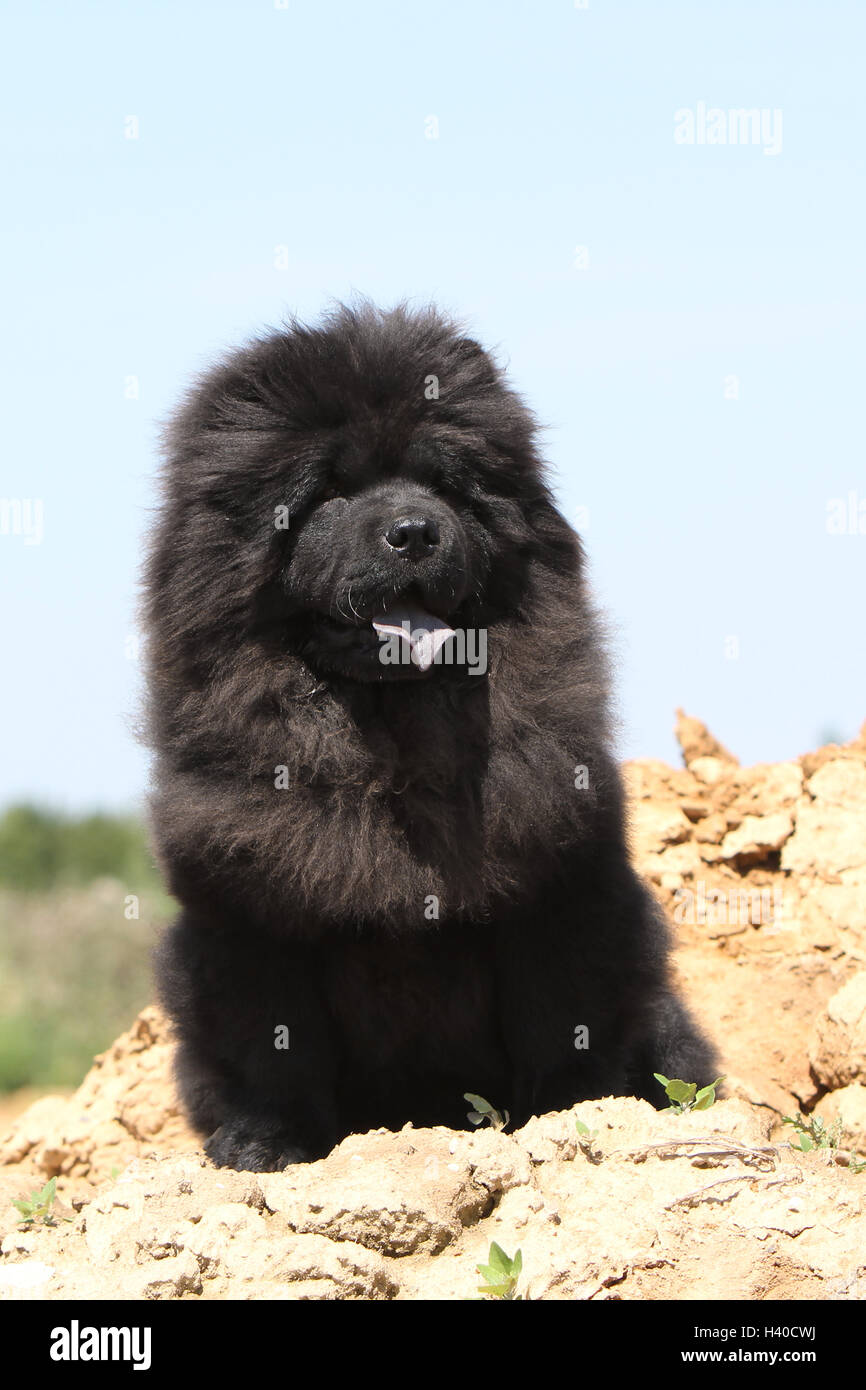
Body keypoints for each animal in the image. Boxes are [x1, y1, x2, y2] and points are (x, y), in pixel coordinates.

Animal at [147, 298, 717, 1167]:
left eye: (446, 486)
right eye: (329, 495)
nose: (415, 531)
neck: (394, 744)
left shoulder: (559, 886)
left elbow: (561, 1013)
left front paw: (573, 1116)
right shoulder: (244, 911)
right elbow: (270, 1040)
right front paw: (265, 1146)